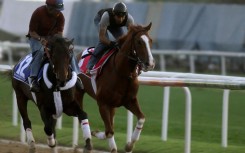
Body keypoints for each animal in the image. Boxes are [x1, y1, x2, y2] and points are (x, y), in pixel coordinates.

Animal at [77, 23, 155, 153]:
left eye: (150, 40)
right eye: (139, 41)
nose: (150, 64)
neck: (122, 73)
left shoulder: (130, 101)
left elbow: (141, 118)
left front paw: (129, 145)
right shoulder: (102, 103)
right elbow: (109, 132)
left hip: (112, 106)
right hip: (77, 92)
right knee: (81, 115)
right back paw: (88, 144)